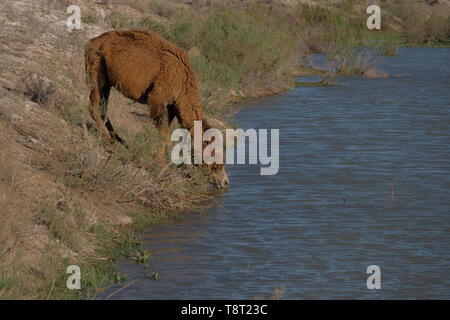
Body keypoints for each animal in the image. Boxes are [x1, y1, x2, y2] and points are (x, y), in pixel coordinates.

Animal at [85, 29, 229, 188]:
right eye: (216, 165)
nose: (225, 182)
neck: (183, 85)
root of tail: (91, 42)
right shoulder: (159, 98)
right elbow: (164, 133)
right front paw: (161, 163)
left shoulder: (172, 105)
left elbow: (168, 133)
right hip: (97, 67)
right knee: (94, 104)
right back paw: (107, 138)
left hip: (107, 76)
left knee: (103, 107)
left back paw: (117, 138)